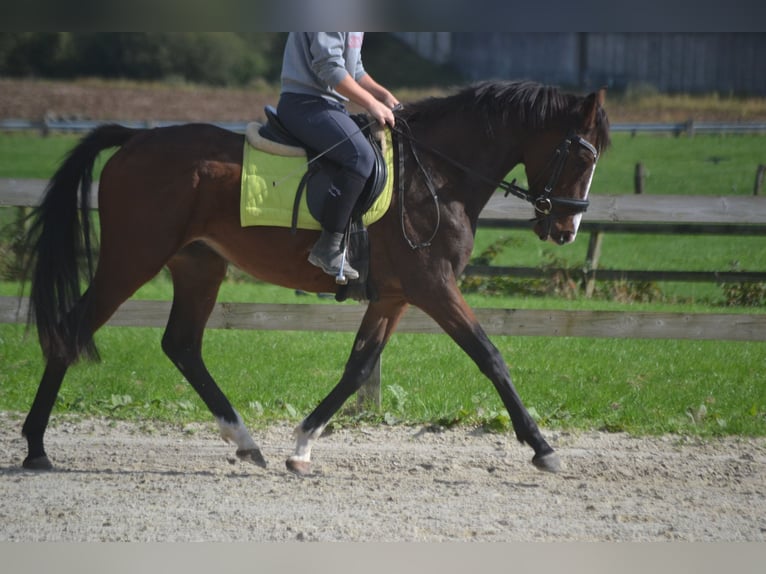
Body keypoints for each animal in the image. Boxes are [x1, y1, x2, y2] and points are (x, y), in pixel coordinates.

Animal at [18, 81, 612, 476]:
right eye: (583, 157)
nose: (566, 228)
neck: (438, 177)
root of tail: (133, 142)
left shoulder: (395, 296)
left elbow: (358, 368)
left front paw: (302, 445)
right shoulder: (433, 287)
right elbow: (490, 355)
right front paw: (542, 447)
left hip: (198, 265)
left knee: (181, 344)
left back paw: (246, 442)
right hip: (133, 258)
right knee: (72, 328)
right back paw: (36, 447)